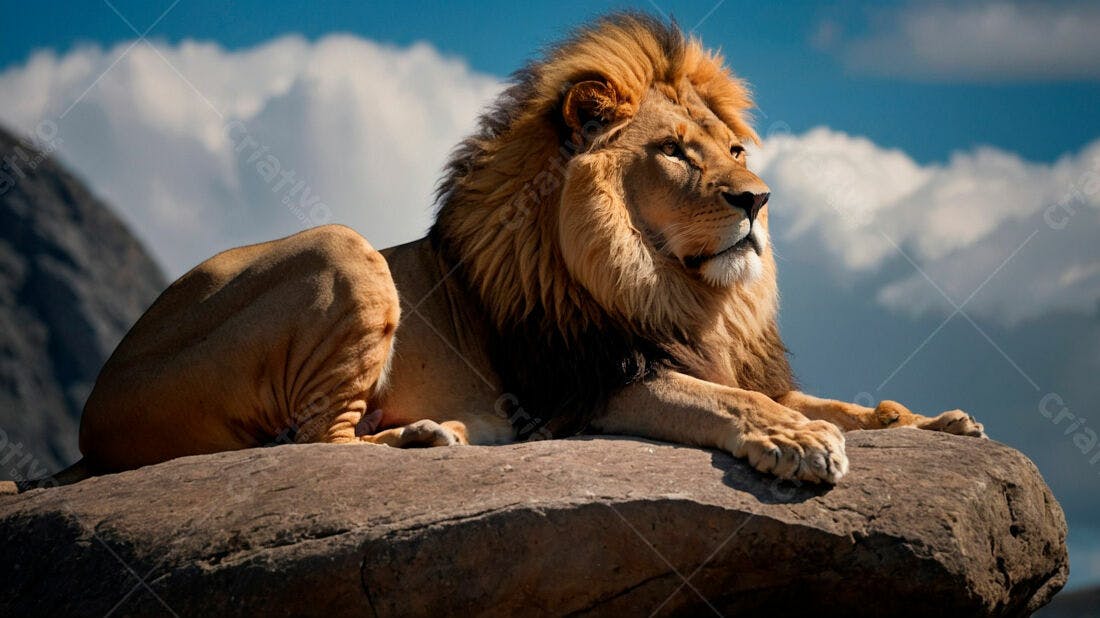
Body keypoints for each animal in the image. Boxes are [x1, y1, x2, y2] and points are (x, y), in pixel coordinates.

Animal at [24, 13, 984, 492]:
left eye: (736, 150)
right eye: (675, 152)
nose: (757, 201)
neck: (679, 289)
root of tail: (91, 416)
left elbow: (843, 403)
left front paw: (935, 421)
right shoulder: (587, 383)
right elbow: (725, 401)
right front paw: (795, 441)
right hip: (341, 250)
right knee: (310, 443)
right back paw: (428, 436)